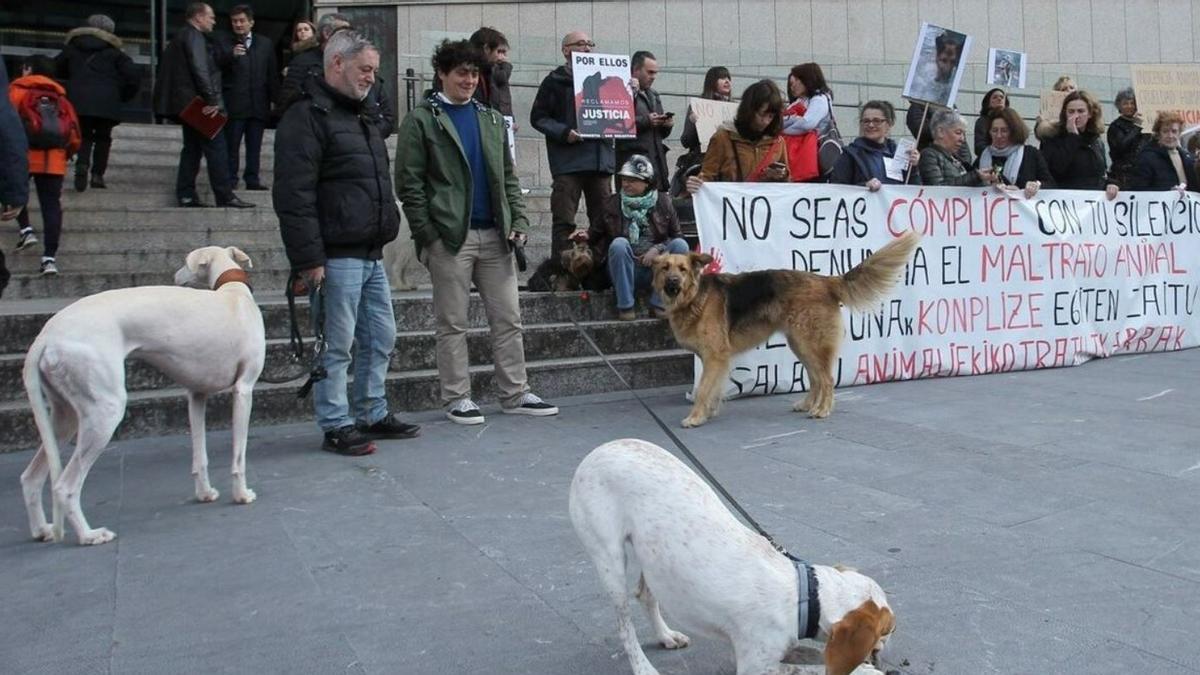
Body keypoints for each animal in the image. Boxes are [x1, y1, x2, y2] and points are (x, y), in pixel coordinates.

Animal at [20, 243, 265, 542]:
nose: (174, 276)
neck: (232, 293)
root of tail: (45, 336)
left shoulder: (197, 396)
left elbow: (200, 456)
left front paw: (205, 493)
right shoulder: (244, 390)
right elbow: (239, 455)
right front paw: (242, 495)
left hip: (64, 418)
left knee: (31, 477)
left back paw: (42, 529)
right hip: (104, 411)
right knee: (64, 486)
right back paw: (90, 535)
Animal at [568, 437, 892, 672]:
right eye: (888, 629)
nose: (882, 651)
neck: (806, 596)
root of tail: (598, 450)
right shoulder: (754, 664)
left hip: (653, 556)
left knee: (646, 595)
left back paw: (665, 635)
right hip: (609, 560)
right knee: (625, 626)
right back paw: (643, 667)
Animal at [652, 228, 921, 422]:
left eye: (683, 269)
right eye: (665, 268)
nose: (672, 283)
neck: (695, 297)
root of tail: (826, 281)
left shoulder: (715, 356)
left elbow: (703, 390)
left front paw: (695, 417)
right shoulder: (713, 359)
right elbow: (712, 390)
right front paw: (708, 412)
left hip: (810, 344)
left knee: (826, 379)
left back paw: (822, 410)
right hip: (800, 344)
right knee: (815, 378)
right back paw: (808, 405)